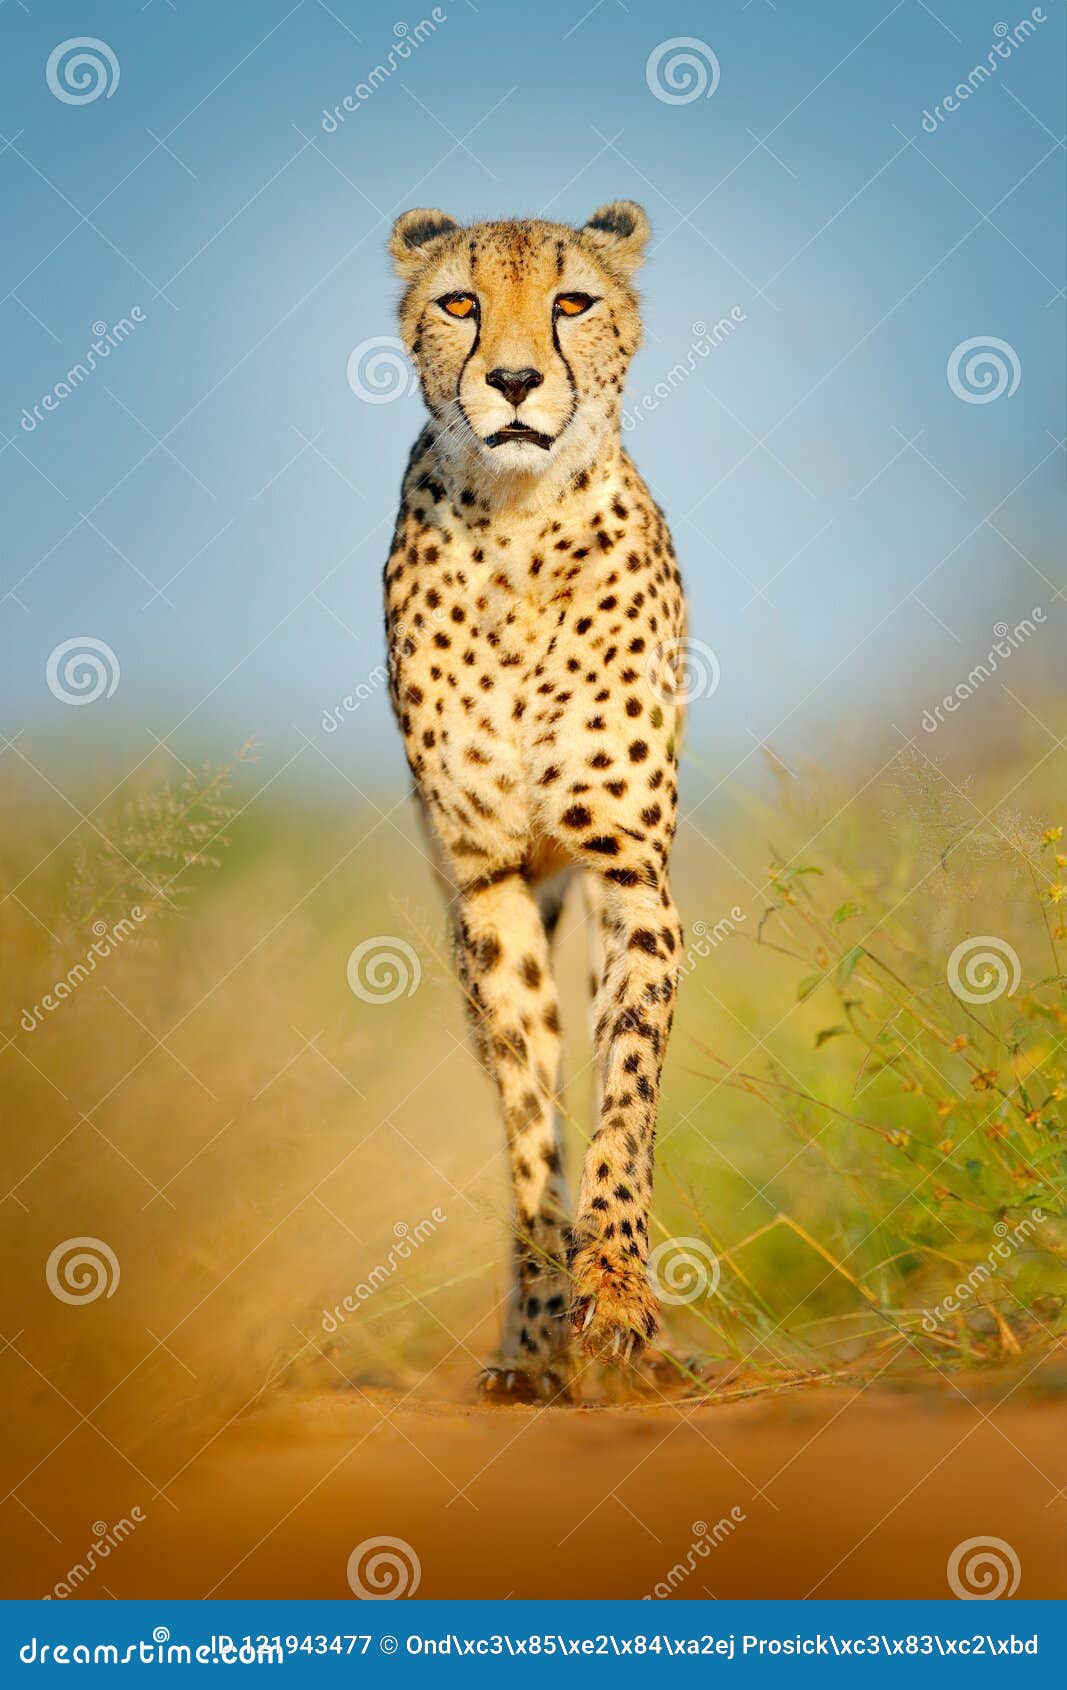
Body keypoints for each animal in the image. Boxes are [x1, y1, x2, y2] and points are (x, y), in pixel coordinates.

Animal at [380, 201, 689, 1399]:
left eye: (572, 301)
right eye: (460, 302)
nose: (512, 380)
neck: (514, 523)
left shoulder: (626, 873)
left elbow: (624, 1103)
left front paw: (619, 1300)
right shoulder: (488, 886)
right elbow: (528, 1127)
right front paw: (551, 1317)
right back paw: (526, 1343)